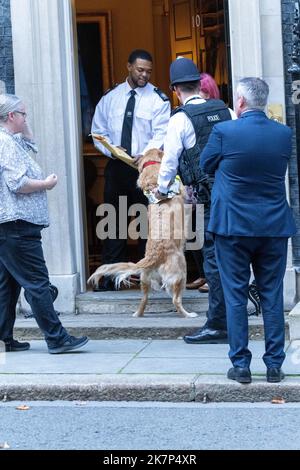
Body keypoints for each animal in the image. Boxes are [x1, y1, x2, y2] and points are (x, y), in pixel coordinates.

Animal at [88, 150, 198, 320]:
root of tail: (152, 257)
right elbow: (186, 194)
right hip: (181, 272)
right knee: (176, 300)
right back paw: (188, 314)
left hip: (145, 280)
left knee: (143, 300)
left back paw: (137, 314)